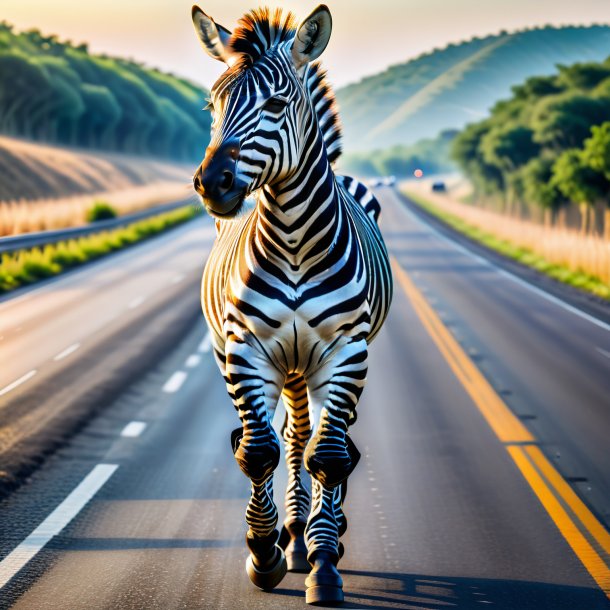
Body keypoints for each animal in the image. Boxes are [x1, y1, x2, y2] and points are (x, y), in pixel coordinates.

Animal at [189, 4, 390, 604]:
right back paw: (295, 536)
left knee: (325, 442)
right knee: (291, 436)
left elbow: (329, 456)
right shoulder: (246, 349)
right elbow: (258, 450)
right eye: (212, 105)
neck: (296, 240)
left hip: (322, 365)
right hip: (278, 364)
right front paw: (265, 551)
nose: (212, 183)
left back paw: (321, 537)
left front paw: (325, 565)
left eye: (276, 105)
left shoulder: (346, 352)